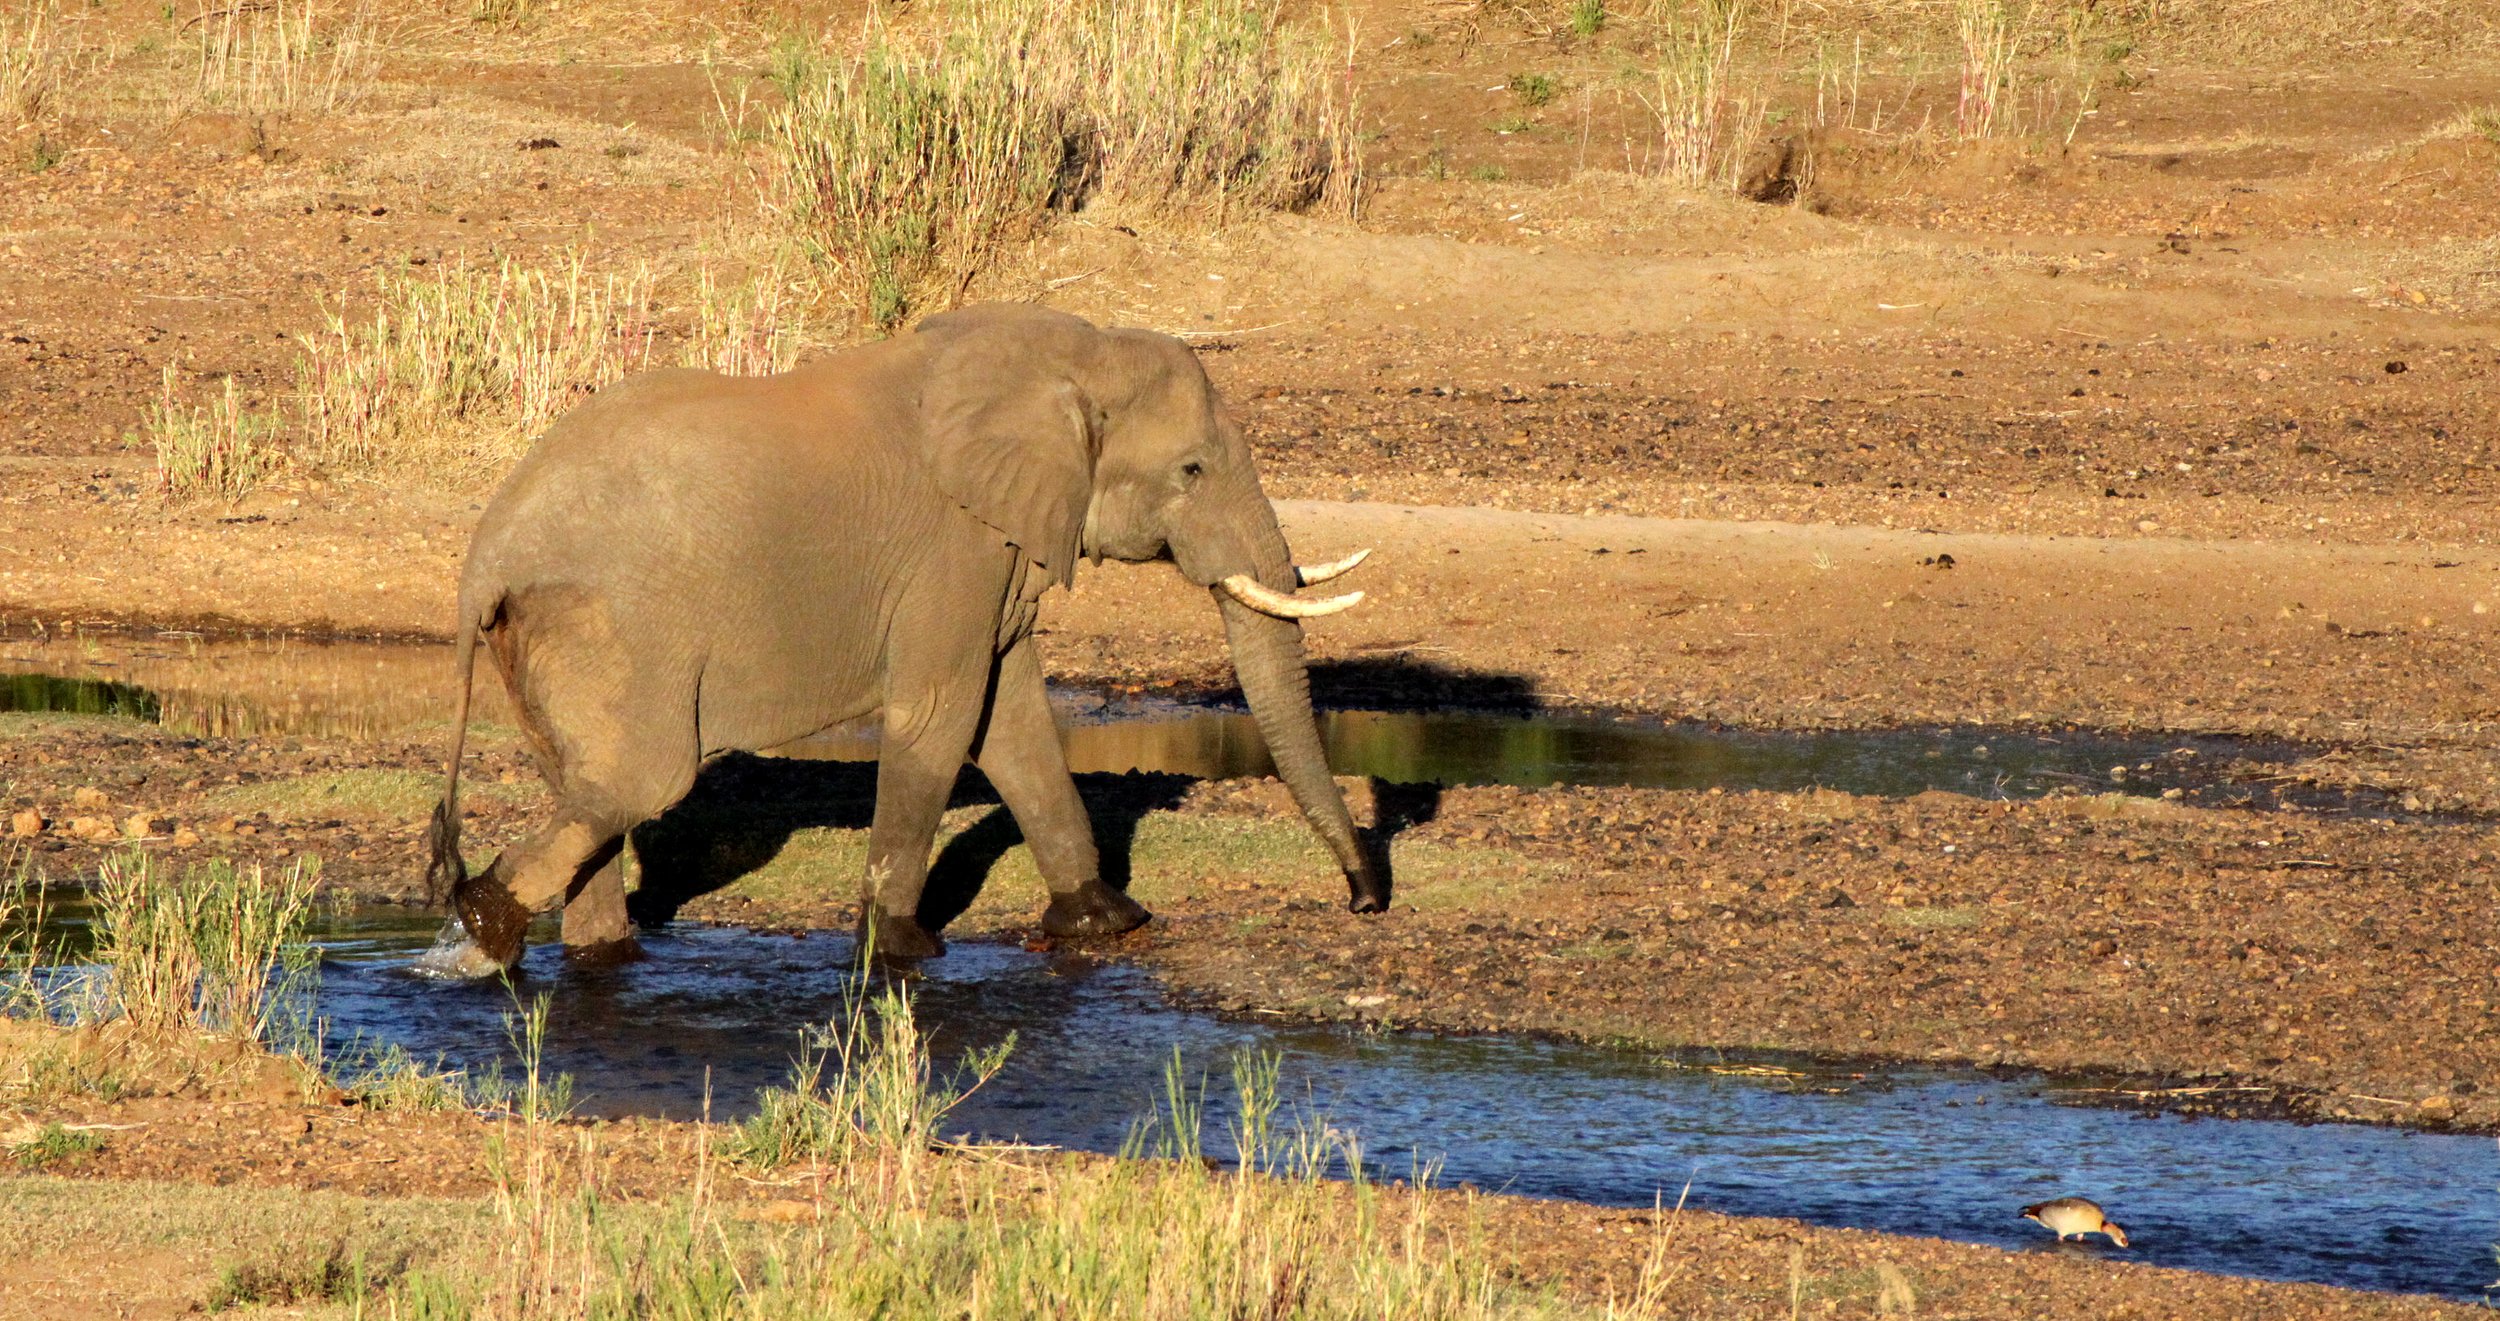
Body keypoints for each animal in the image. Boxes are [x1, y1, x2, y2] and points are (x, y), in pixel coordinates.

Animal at [422, 302, 1385, 972]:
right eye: (1192, 470)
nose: (1364, 898)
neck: (1072, 353)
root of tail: (482, 561)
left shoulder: (998, 552)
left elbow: (1011, 717)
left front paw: (1105, 922)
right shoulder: (952, 545)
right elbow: (942, 714)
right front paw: (901, 952)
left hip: (547, 638)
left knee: (589, 785)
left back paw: (592, 956)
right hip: (611, 622)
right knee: (644, 779)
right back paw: (483, 926)